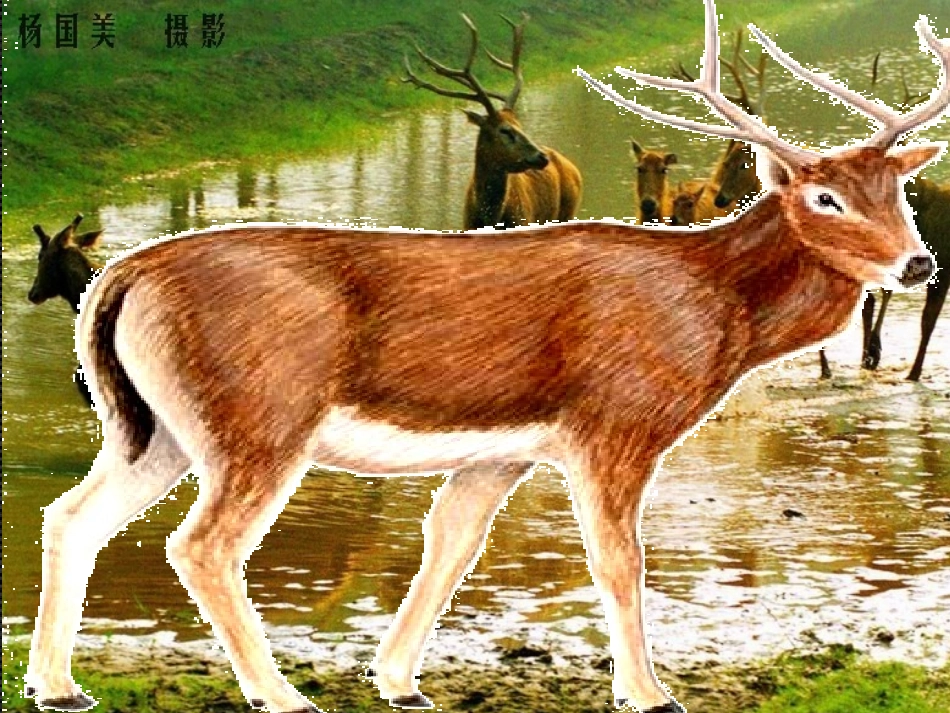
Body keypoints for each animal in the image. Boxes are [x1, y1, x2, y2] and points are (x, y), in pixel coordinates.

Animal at [404, 14, 582, 230]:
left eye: (520, 126)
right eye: (504, 130)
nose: (541, 156)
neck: (490, 220)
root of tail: (574, 169)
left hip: (568, 211)